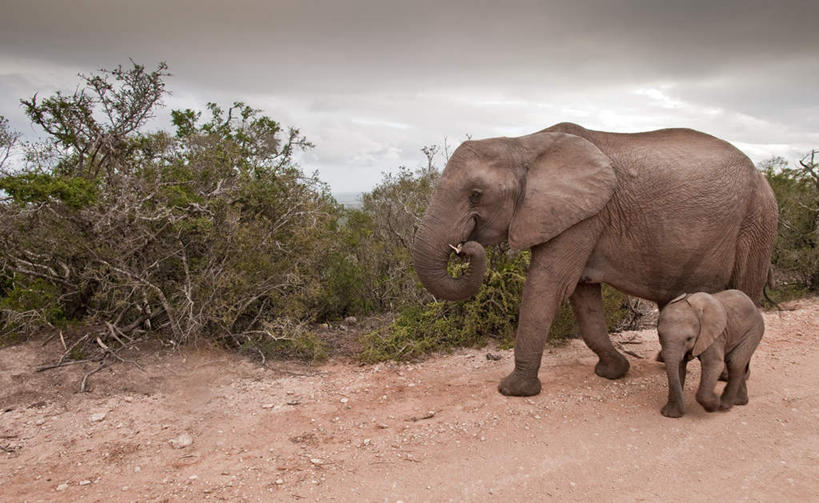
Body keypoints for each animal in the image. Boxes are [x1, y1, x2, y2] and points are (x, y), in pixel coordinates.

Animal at [411, 122, 778, 397]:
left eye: (475, 195)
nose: (463, 248)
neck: (523, 143)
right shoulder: (577, 215)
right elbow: (582, 296)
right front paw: (613, 372)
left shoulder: (584, 217)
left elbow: (550, 284)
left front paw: (514, 390)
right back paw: (666, 360)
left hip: (758, 220)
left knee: (745, 292)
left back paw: (728, 376)